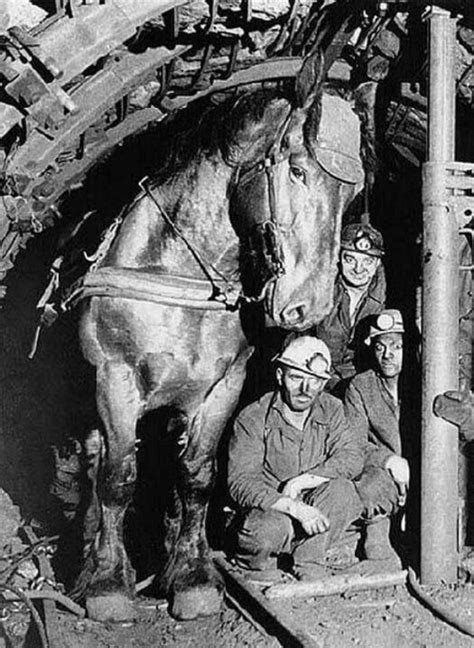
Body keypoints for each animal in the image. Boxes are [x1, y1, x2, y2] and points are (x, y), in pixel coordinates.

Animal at [74, 57, 364, 624]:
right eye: (297, 169)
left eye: (353, 194)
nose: (310, 308)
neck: (180, 274)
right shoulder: (115, 381)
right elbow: (118, 477)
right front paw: (108, 587)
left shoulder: (221, 389)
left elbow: (198, 476)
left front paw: (191, 577)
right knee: (98, 463)